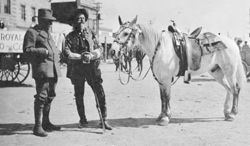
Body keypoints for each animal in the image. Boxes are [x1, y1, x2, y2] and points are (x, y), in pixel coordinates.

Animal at [114, 16, 246, 125]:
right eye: (116, 33)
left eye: (126, 33)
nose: (114, 51)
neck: (161, 48)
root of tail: (232, 42)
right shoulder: (161, 80)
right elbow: (162, 97)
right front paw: (161, 116)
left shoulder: (166, 79)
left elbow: (167, 97)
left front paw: (165, 118)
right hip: (217, 72)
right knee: (228, 89)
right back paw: (227, 112)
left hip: (229, 71)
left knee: (235, 89)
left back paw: (232, 114)